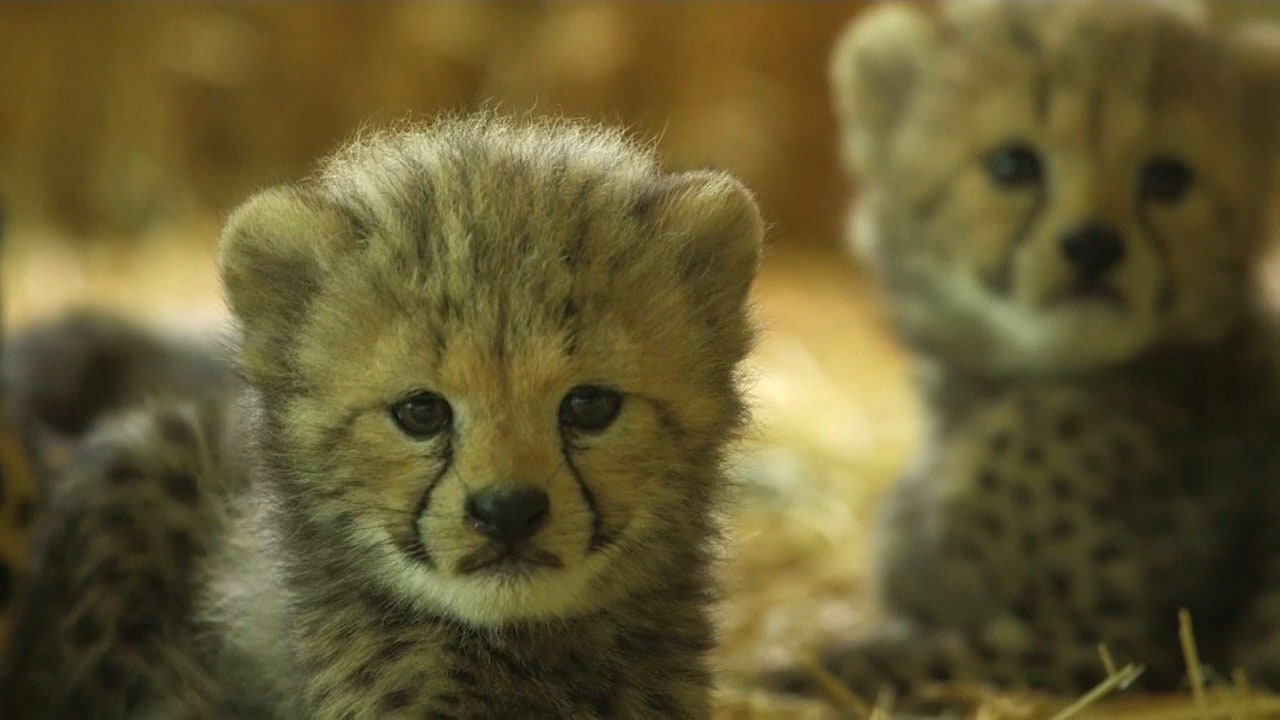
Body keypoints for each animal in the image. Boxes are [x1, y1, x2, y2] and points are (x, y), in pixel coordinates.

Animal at [766, 0, 1280, 706]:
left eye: (1168, 177)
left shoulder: (1113, 645)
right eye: (1014, 165)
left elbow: (910, 658)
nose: (1094, 245)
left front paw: (782, 667)